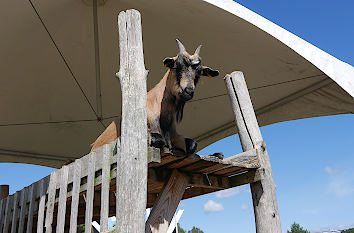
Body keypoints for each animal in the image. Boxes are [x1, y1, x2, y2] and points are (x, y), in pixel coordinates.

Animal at [90, 39, 218, 154]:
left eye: (199, 73)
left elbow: (192, 144)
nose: (188, 91)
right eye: (176, 66)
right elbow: (159, 140)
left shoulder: (174, 135)